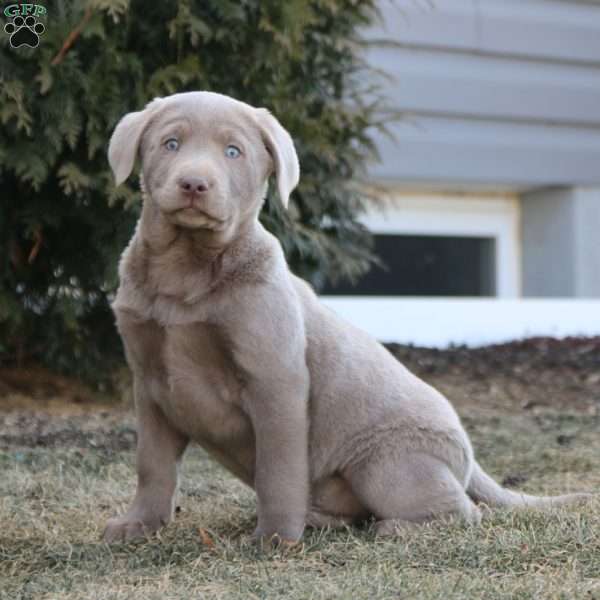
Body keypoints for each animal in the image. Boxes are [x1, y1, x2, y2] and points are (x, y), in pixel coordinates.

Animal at [104, 92, 592, 544]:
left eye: (233, 152)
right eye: (170, 143)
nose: (193, 184)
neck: (183, 270)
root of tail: (468, 454)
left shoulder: (275, 378)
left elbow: (278, 469)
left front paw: (275, 539)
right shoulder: (150, 382)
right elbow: (152, 464)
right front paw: (138, 525)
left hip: (386, 464)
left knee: (463, 512)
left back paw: (391, 528)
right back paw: (320, 520)